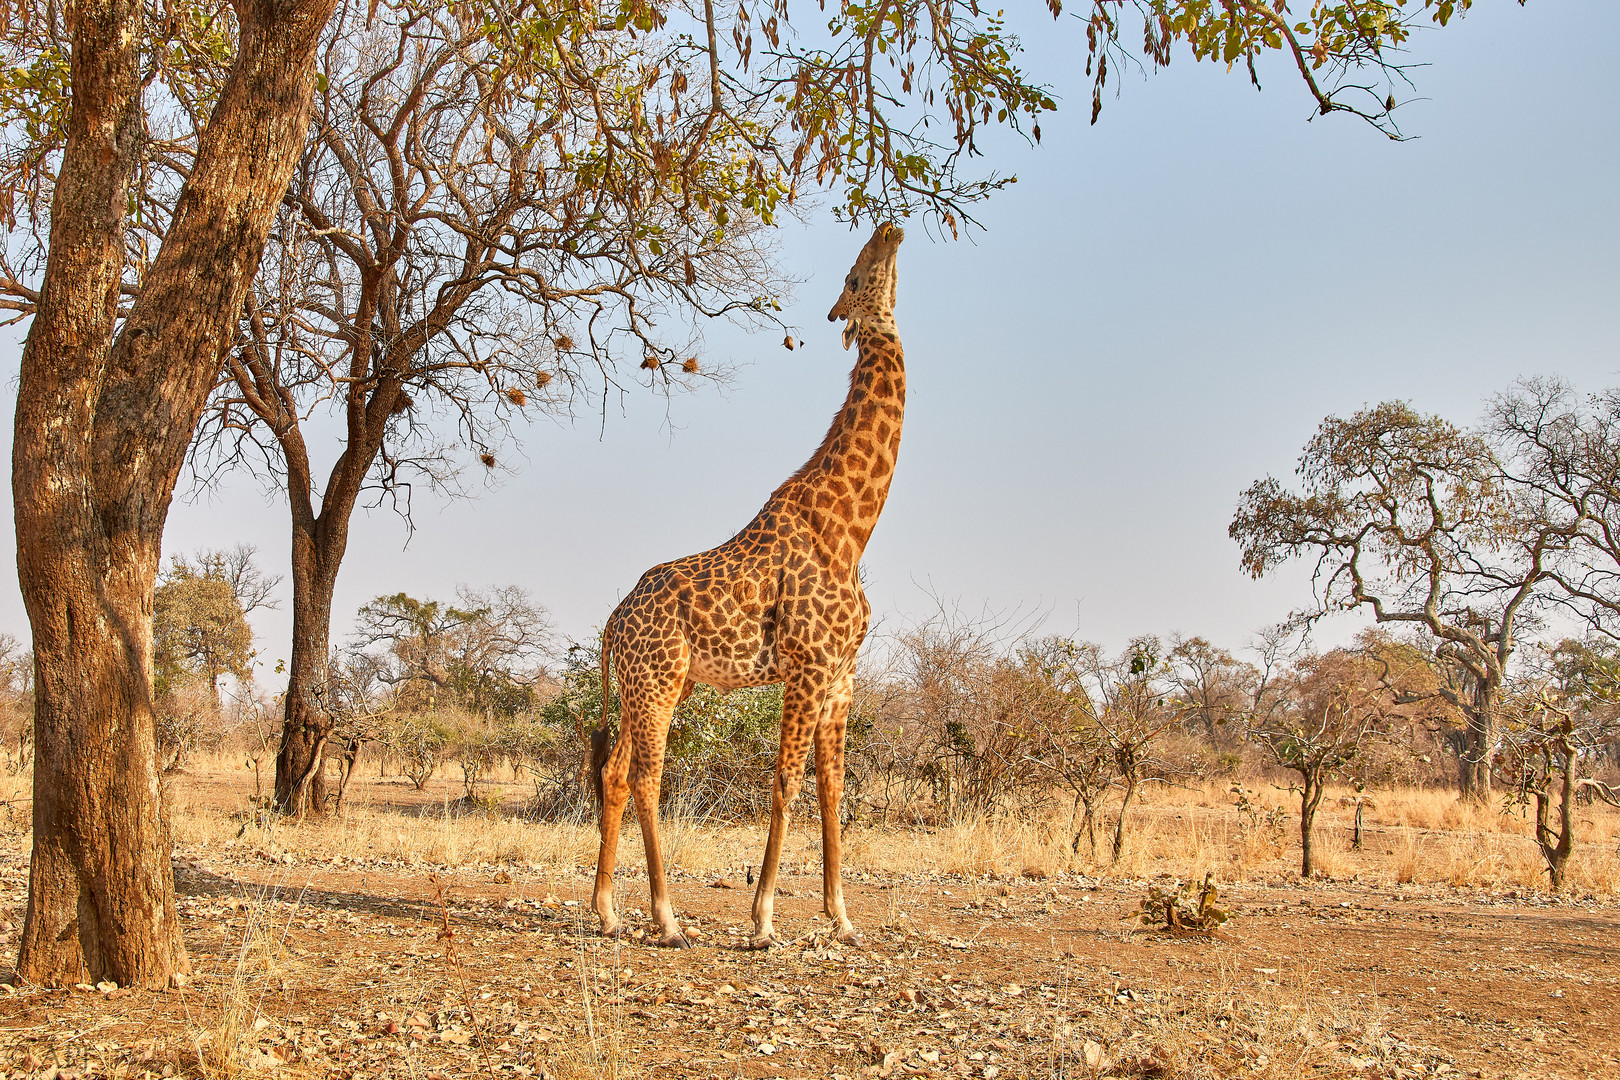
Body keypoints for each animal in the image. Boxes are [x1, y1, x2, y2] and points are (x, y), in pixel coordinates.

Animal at [589, 223, 907, 952]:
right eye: (854, 277)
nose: (891, 228)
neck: (851, 529)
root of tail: (613, 623)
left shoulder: (841, 674)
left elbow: (832, 786)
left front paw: (842, 916)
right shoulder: (808, 666)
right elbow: (786, 781)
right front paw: (761, 918)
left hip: (656, 685)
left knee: (614, 772)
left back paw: (607, 910)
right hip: (657, 682)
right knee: (647, 777)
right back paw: (666, 917)